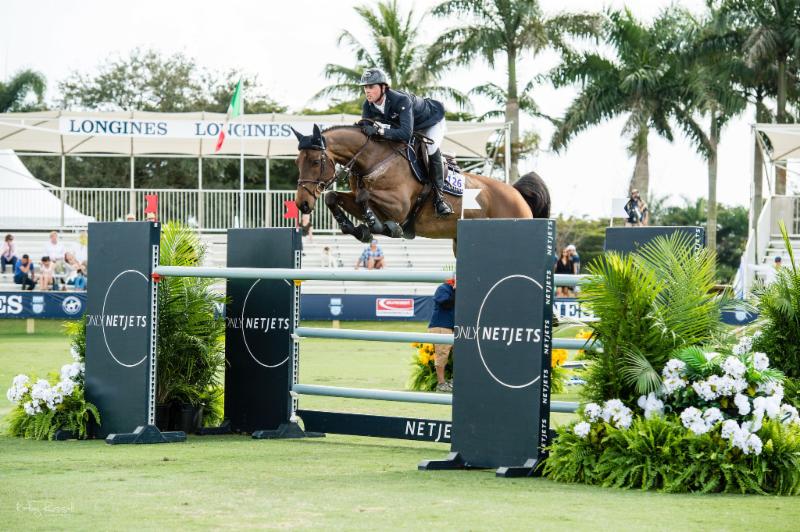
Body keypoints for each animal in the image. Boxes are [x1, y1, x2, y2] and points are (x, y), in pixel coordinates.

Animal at [292, 124, 552, 243]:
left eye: (315, 161)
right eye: (297, 162)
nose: (302, 204)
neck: (374, 160)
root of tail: (517, 193)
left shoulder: (400, 207)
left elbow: (364, 197)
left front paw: (380, 226)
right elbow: (334, 197)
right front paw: (357, 229)